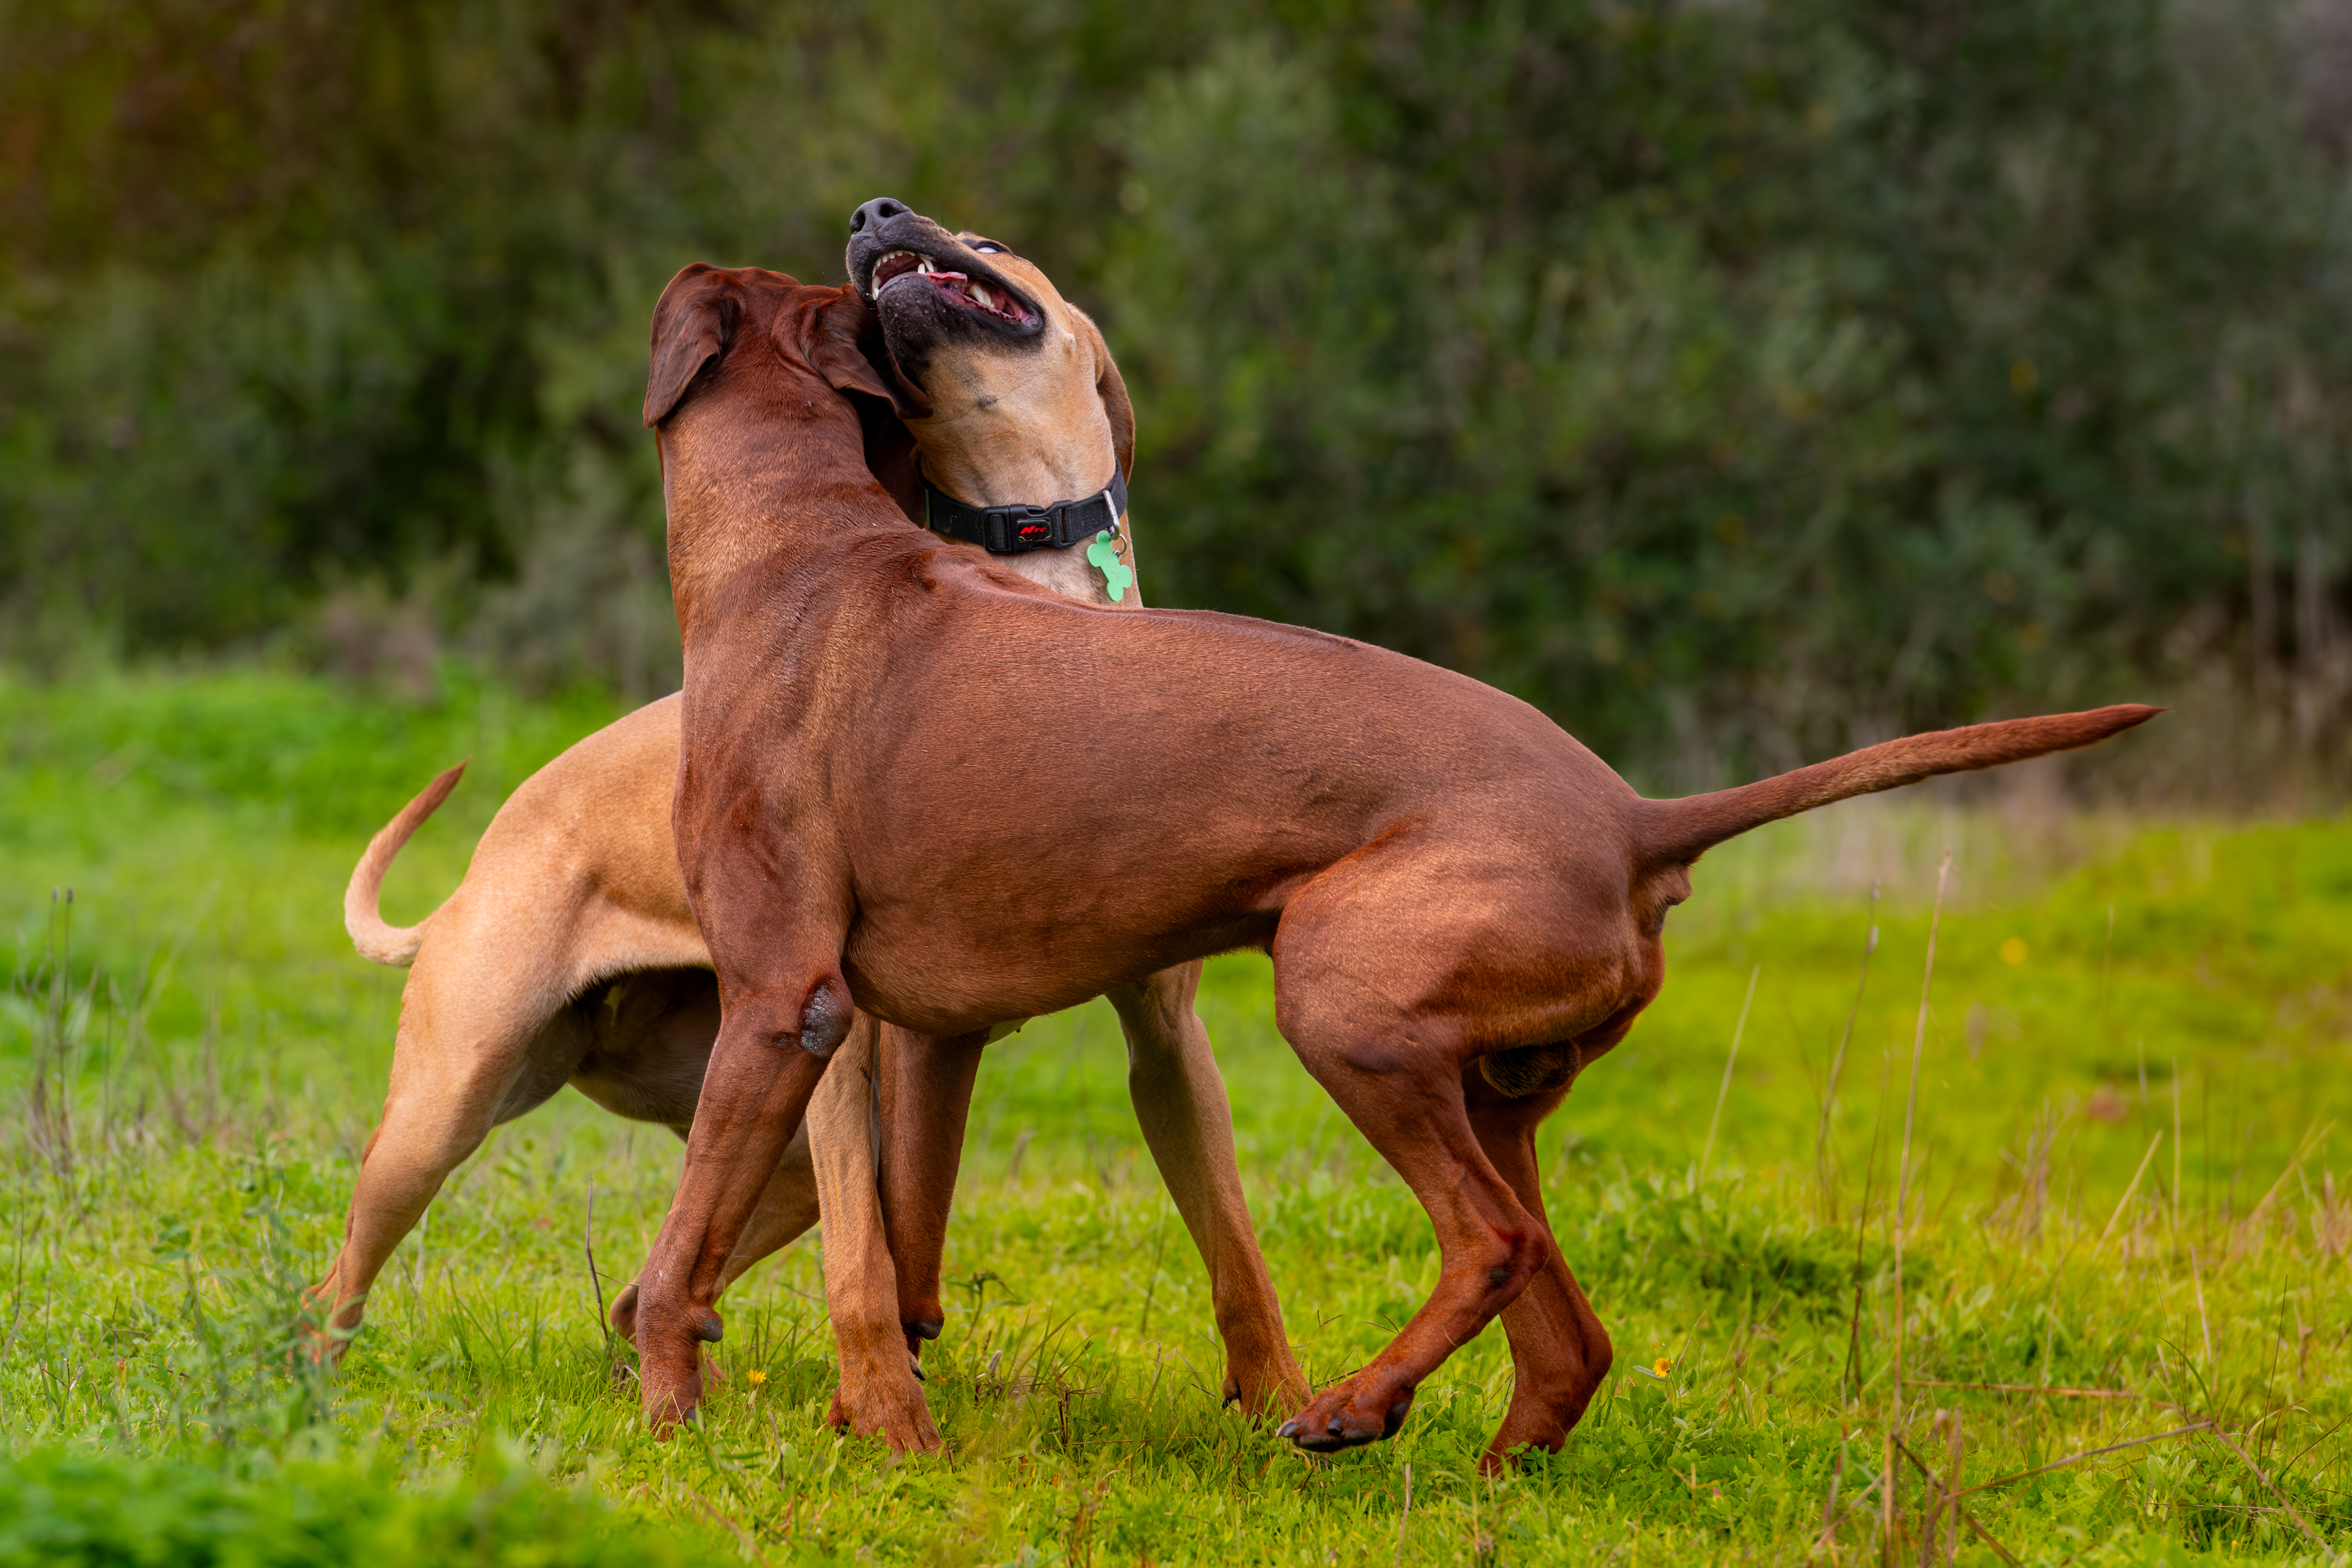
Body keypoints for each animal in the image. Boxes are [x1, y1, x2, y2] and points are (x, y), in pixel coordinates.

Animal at [311, 209, 1307, 1449]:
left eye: (986, 242)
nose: (878, 215)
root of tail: (487, 854)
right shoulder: (854, 1046)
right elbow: (868, 1254)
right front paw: (884, 1408)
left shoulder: (1161, 1039)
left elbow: (1231, 1240)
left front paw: (1286, 1407)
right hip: (447, 1105)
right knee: (344, 1277)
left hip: (741, 1124)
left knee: (649, 1285)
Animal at [624, 199, 2159, 1468]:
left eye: (987, 233)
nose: (874, 209)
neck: (803, 544)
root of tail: (1634, 817)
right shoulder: (909, 1031)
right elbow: (888, 1232)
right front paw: (871, 1401)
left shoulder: (782, 1002)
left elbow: (696, 1230)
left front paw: (674, 1411)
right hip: (1488, 1082)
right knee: (1566, 1320)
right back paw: (1488, 1459)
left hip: (1343, 1000)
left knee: (1490, 1243)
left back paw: (1353, 1407)